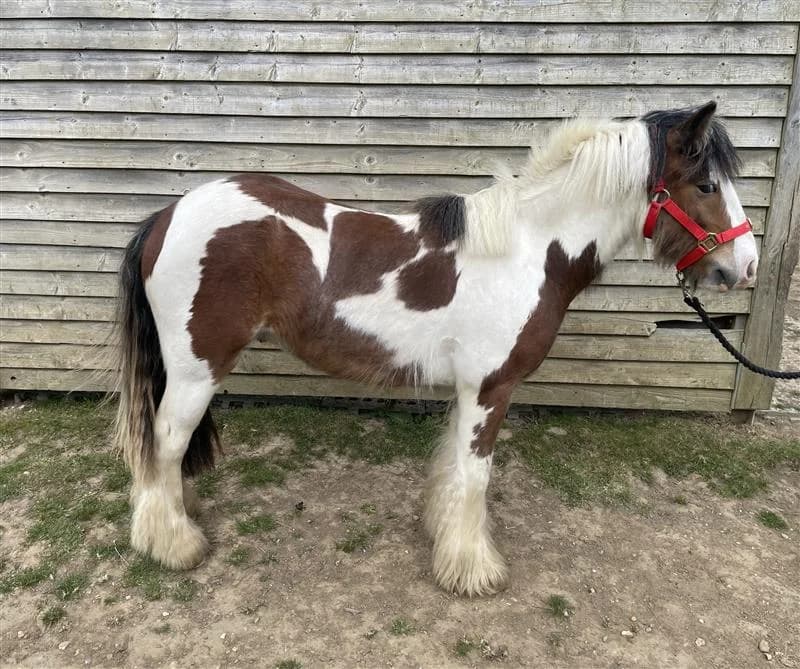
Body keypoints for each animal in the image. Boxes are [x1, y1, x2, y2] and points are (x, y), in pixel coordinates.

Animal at [114, 101, 758, 597]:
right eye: (706, 185)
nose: (744, 266)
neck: (529, 249)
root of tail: (168, 216)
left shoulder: (470, 389)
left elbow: (454, 468)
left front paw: (443, 537)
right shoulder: (492, 389)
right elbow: (475, 477)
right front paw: (473, 571)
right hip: (196, 369)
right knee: (165, 440)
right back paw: (173, 543)